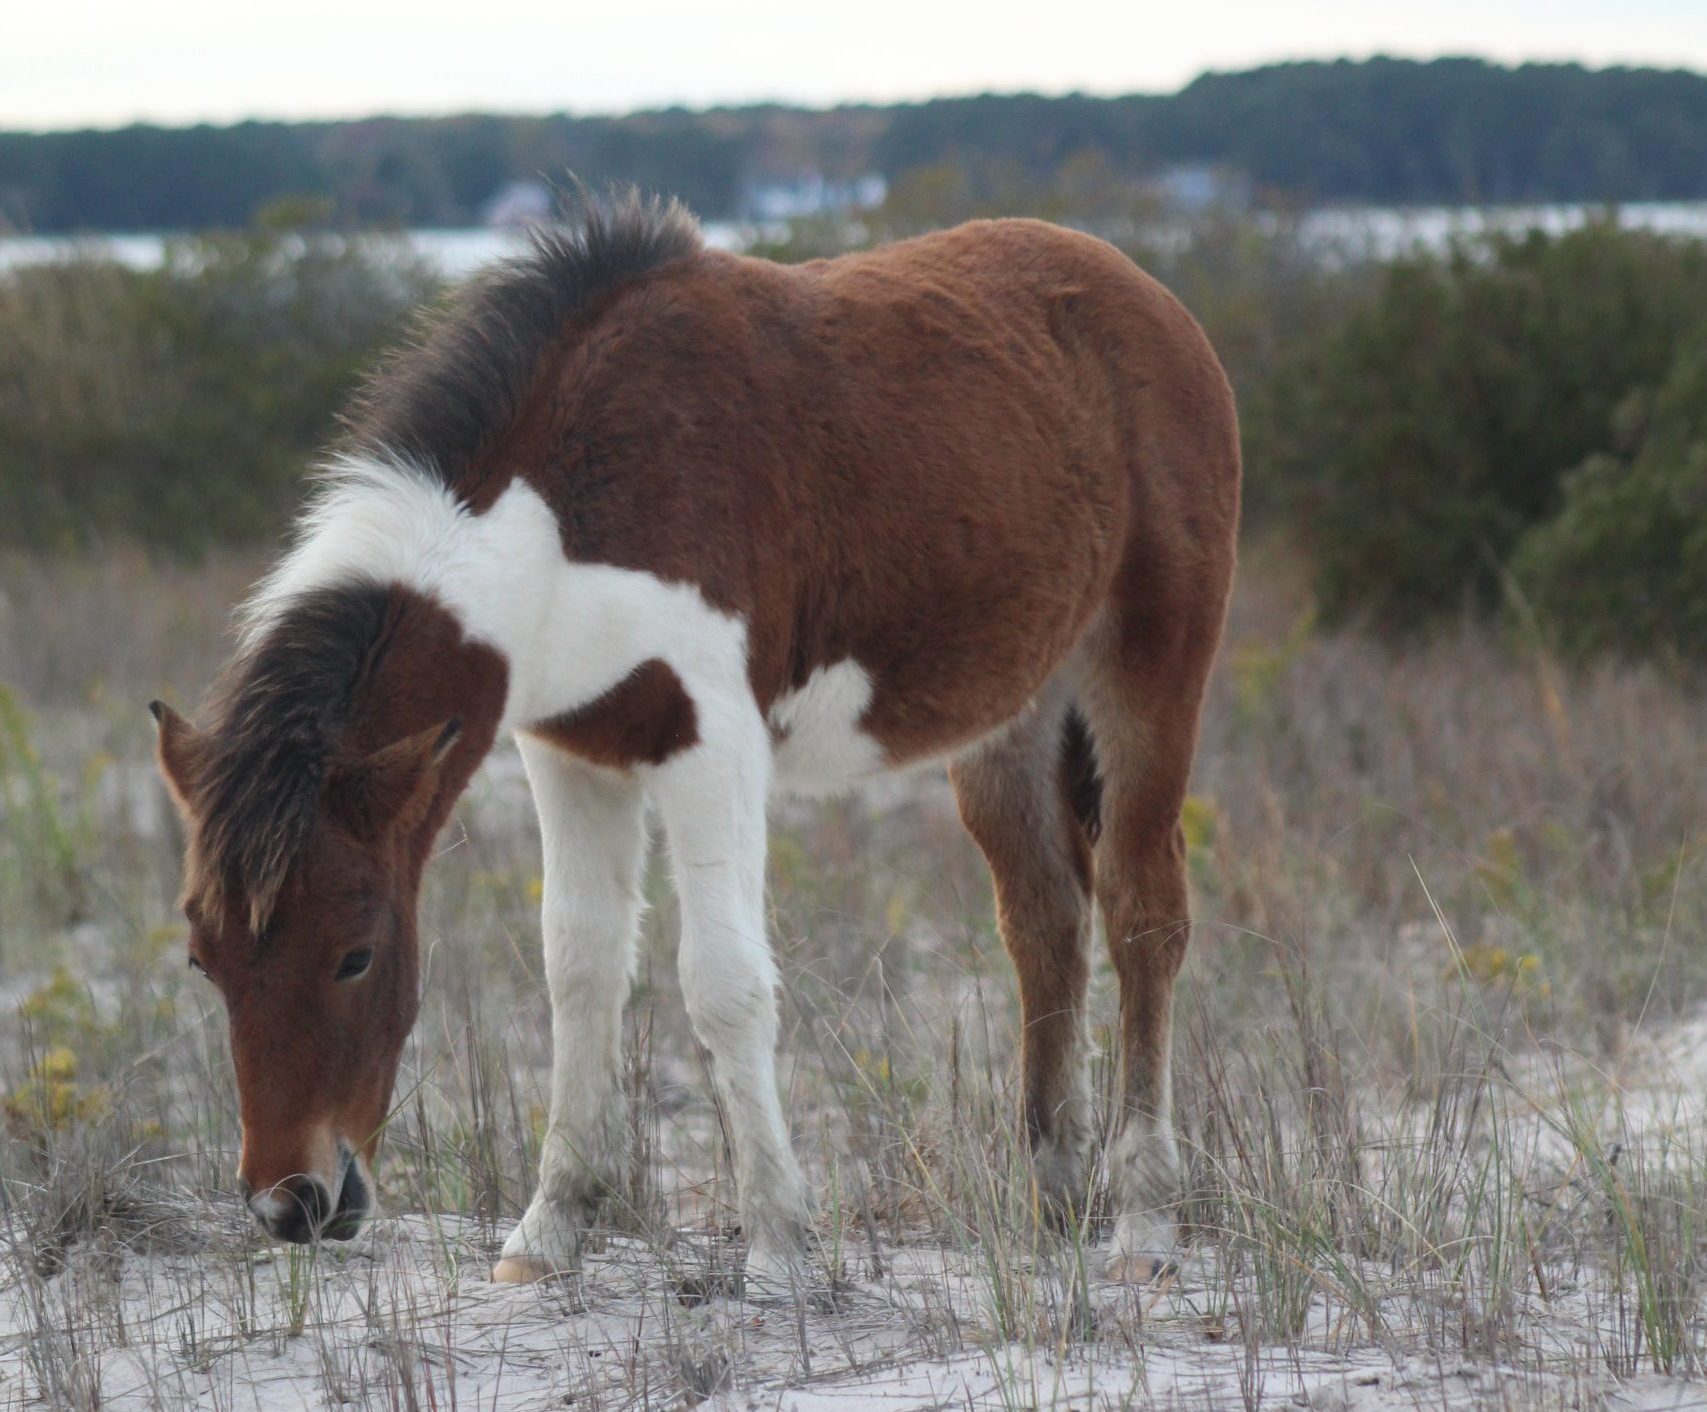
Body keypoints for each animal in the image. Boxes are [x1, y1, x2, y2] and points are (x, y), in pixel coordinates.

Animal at [152, 193, 1240, 1287]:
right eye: (204, 962)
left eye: (356, 956)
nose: (292, 1200)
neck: (568, 511)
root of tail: (1149, 300)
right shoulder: (571, 753)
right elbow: (579, 969)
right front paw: (548, 1231)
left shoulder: (710, 746)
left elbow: (722, 982)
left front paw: (779, 1244)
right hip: (1013, 713)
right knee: (1044, 921)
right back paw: (1052, 1204)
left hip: (1146, 669)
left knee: (1142, 911)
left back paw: (1144, 1220)